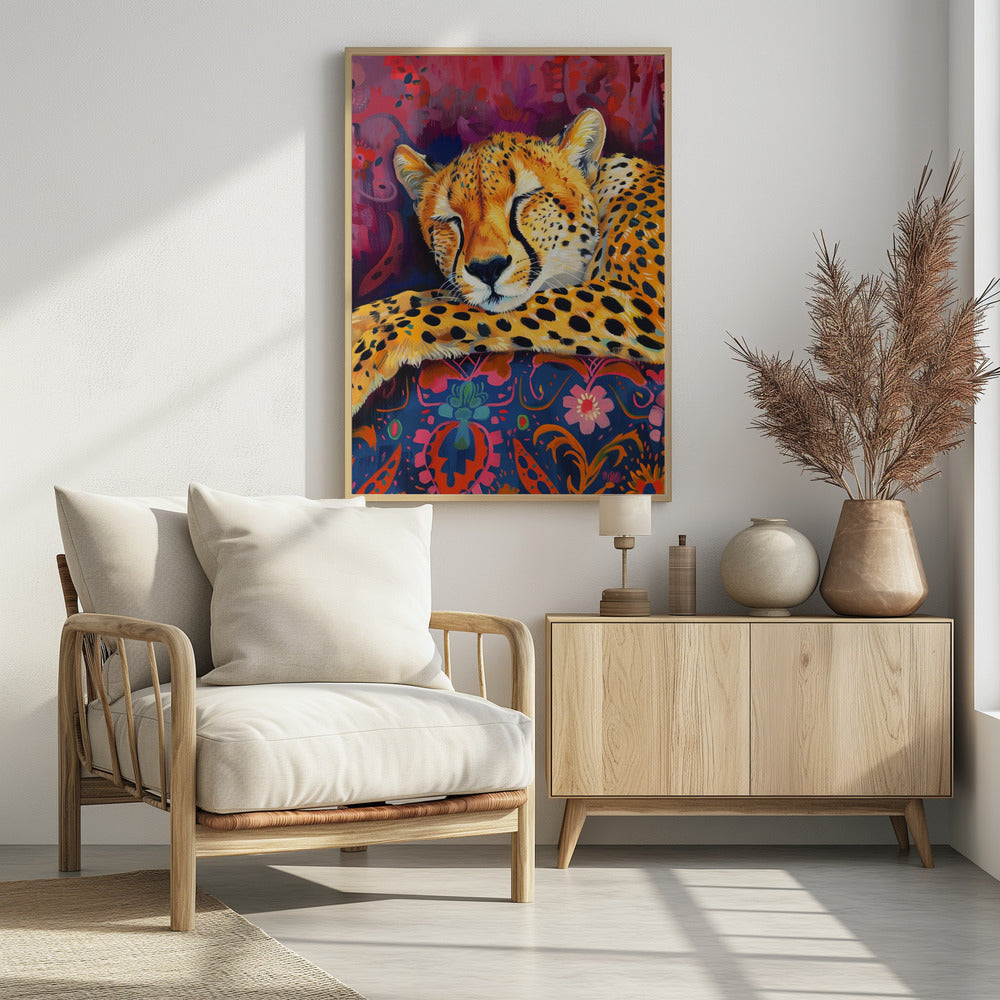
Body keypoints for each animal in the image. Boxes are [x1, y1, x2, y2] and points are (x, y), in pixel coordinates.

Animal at [350, 107, 666, 414]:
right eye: (451, 220)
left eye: (524, 198)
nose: (487, 269)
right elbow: (423, 298)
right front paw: (359, 321)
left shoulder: (639, 302)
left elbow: (440, 313)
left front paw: (360, 361)